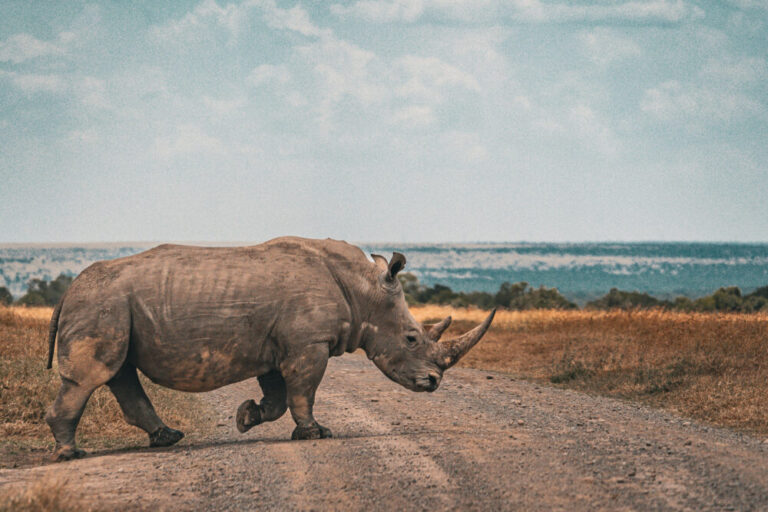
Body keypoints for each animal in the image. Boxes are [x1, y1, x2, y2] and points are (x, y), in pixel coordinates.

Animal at [45, 237, 495, 461]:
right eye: (412, 339)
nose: (433, 382)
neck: (364, 291)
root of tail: (67, 290)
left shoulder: (279, 345)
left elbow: (278, 398)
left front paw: (246, 417)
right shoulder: (308, 343)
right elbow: (303, 392)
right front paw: (315, 434)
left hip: (110, 305)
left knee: (119, 372)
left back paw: (167, 438)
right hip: (101, 302)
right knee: (93, 375)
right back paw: (72, 454)